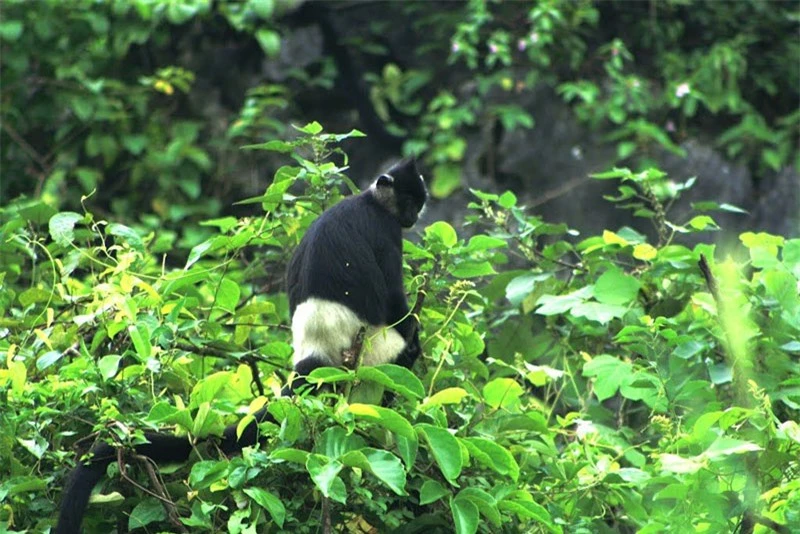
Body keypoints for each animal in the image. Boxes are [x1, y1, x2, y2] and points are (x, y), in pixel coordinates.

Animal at [54, 159, 424, 534]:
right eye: (408, 203)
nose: (412, 217)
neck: (370, 201)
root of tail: (314, 350)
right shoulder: (385, 232)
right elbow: (395, 302)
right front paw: (411, 324)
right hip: (371, 351)